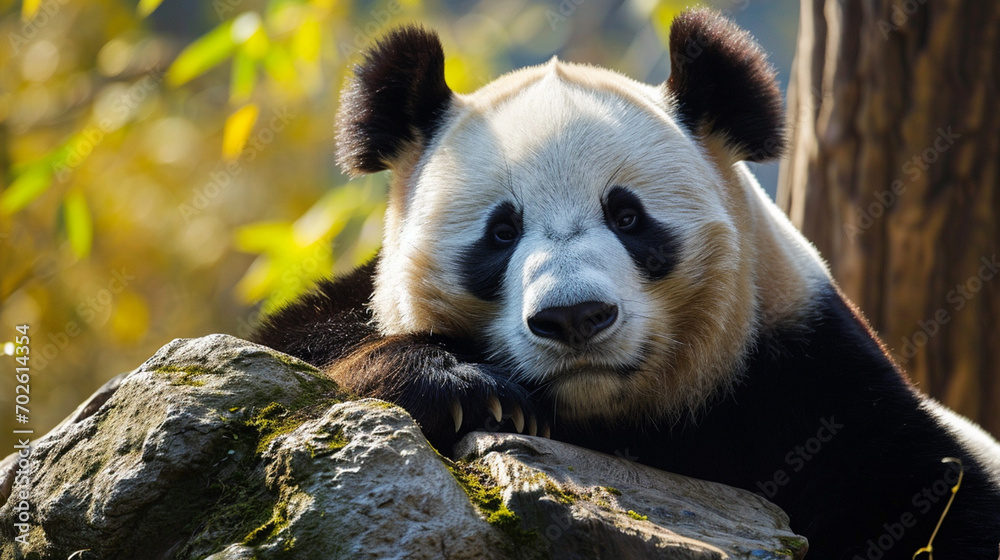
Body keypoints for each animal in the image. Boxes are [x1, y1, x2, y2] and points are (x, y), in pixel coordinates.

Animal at [252, 9, 1000, 558]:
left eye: (629, 217)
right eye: (502, 231)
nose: (574, 317)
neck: (614, 421)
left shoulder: (812, 376)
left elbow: (926, 499)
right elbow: (292, 353)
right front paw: (461, 386)